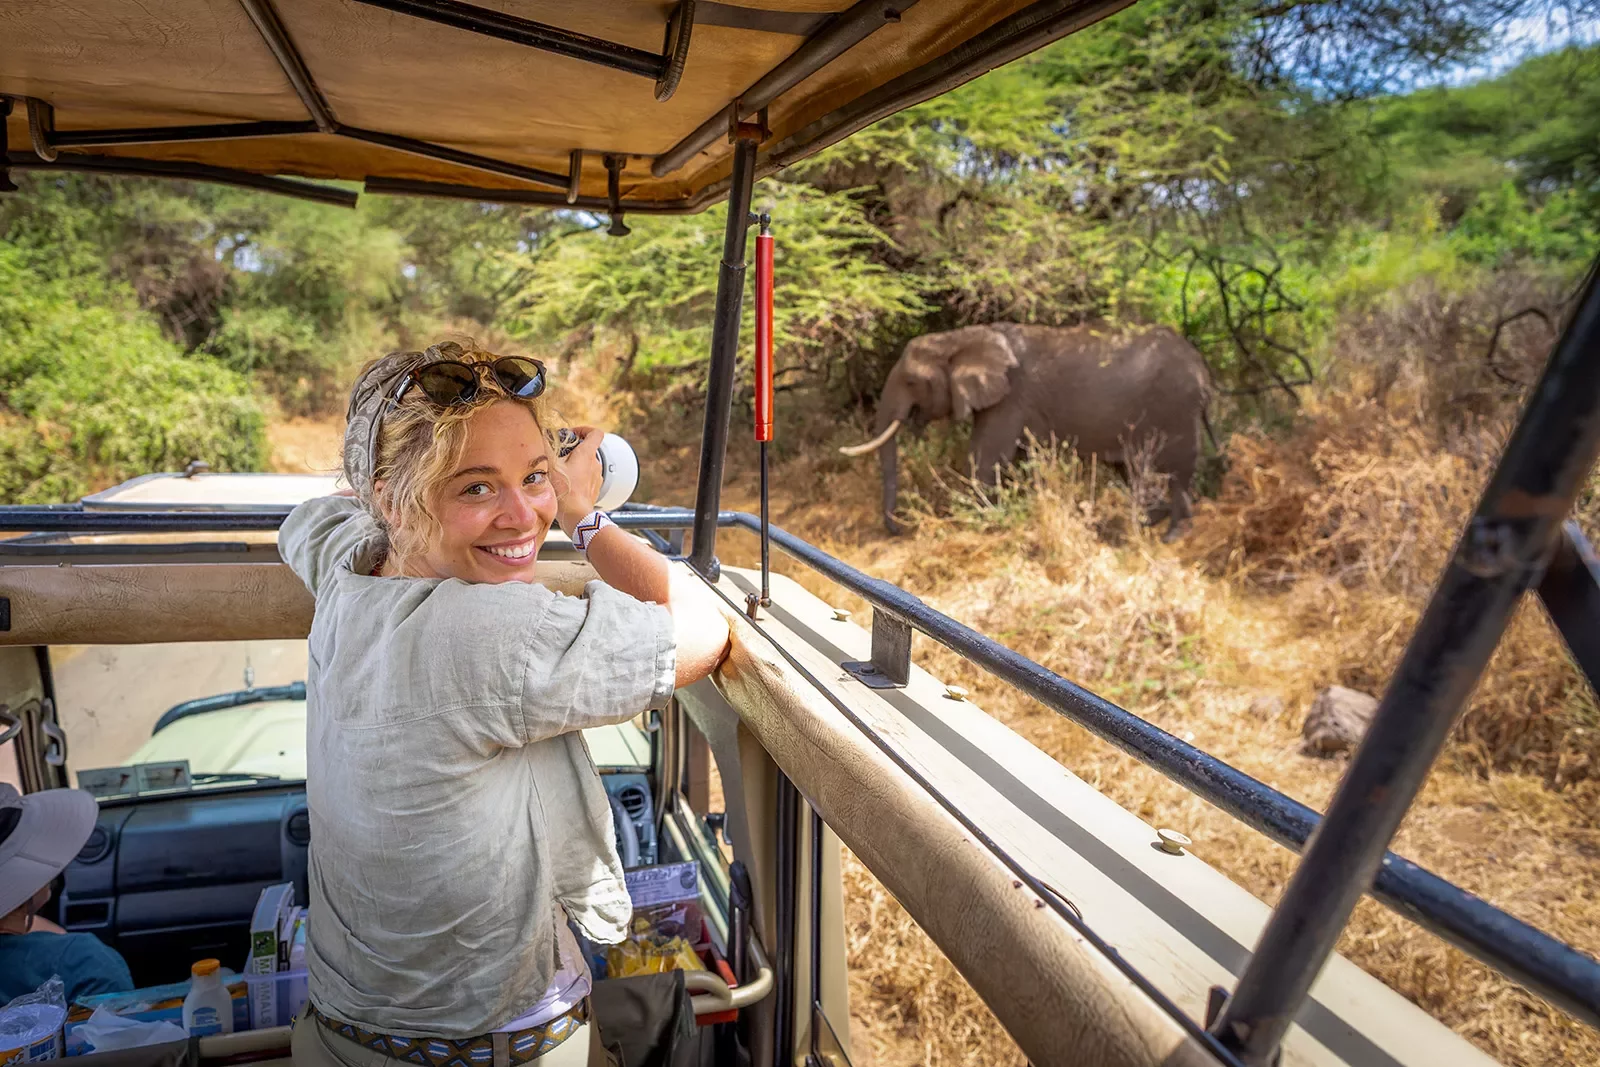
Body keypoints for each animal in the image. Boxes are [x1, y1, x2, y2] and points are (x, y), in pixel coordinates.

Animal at [844, 321, 1203, 537]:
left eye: (910, 381)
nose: (899, 529)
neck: (960, 337)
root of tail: (1202, 370)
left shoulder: (1011, 398)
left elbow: (986, 458)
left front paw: (974, 522)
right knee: (1134, 469)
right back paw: (1151, 522)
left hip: (1176, 409)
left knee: (1176, 468)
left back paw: (1171, 534)